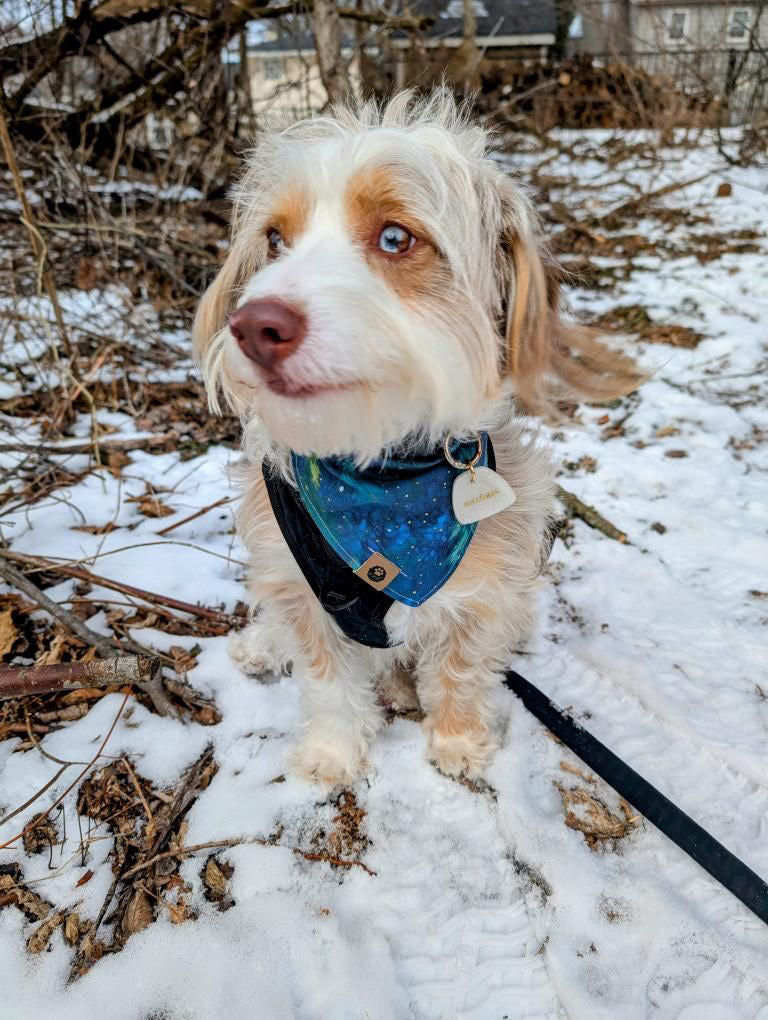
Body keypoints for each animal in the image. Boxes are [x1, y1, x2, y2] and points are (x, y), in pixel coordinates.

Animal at [191, 89, 636, 787]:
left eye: (396, 238)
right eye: (275, 240)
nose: (254, 325)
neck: (382, 484)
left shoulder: (482, 596)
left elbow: (459, 672)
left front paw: (457, 744)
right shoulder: (303, 591)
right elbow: (326, 678)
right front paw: (332, 753)